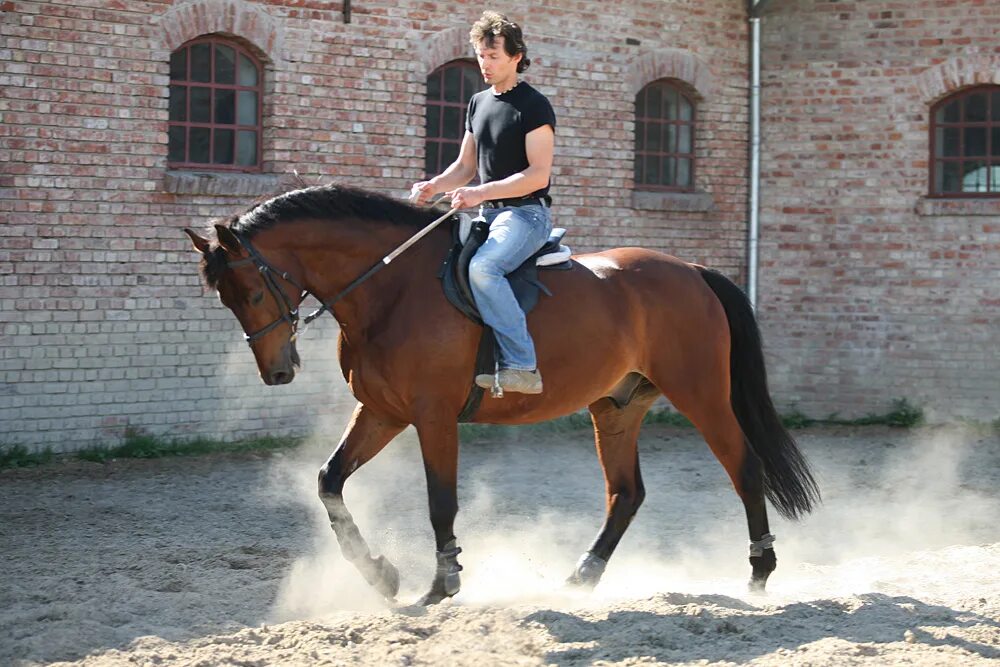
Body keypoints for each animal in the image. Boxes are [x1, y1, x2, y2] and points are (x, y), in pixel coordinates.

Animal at [188, 183, 820, 604]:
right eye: (225, 297)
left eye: (252, 290)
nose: (277, 372)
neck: (392, 287)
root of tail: (691, 270)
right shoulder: (382, 412)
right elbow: (329, 482)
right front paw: (381, 574)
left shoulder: (432, 416)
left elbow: (440, 501)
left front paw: (441, 583)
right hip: (616, 407)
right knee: (626, 493)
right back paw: (582, 577)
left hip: (702, 395)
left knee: (744, 469)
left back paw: (760, 571)